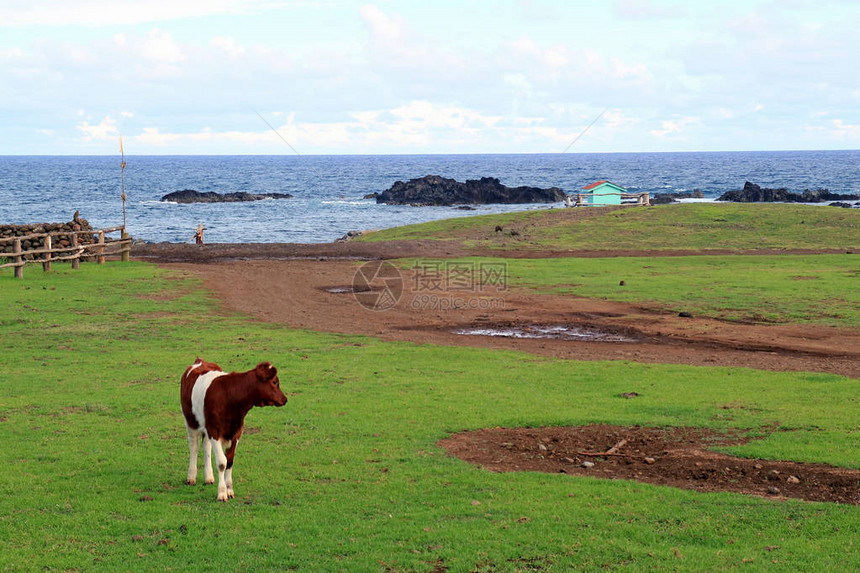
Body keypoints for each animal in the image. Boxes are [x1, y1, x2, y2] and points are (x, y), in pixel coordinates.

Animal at [180, 358, 288, 500]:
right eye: (275, 382)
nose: (285, 399)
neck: (230, 397)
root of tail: (200, 361)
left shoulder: (236, 433)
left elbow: (230, 462)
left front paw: (229, 490)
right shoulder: (214, 431)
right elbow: (222, 463)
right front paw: (222, 493)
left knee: (206, 446)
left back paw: (209, 477)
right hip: (190, 421)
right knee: (194, 446)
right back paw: (191, 476)